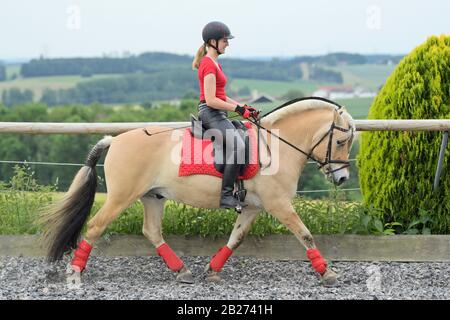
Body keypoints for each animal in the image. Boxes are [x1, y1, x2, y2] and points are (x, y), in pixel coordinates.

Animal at [40, 97, 356, 284]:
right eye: (341, 142)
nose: (341, 178)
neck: (276, 145)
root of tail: (114, 141)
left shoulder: (253, 207)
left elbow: (236, 238)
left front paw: (212, 270)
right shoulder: (278, 204)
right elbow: (305, 234)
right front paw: (328, 272)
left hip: (152, 197)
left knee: (151, 231)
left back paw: (183, 270)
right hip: (121, 197)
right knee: (95, 227)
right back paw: (75, 272)